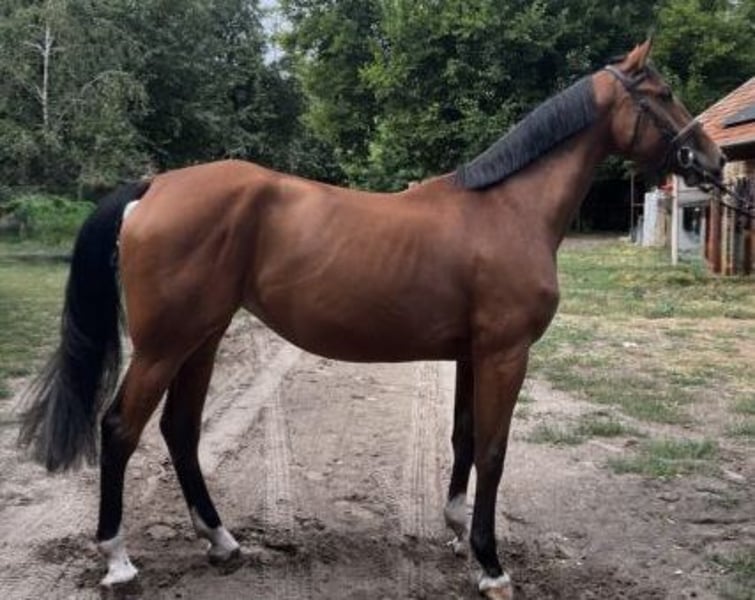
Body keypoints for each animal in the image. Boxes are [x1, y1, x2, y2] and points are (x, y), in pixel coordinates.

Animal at [18, 39, 725, 599]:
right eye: (663, 93)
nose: (713, 161)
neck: (506, 210)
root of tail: (153, 187)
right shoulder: (506, 352)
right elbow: (494, 451)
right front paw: (491, 566)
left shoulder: (472, 353)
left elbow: (464, 437)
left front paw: (457, 528)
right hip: (166, 345)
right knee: (120, 428)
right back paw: (118, 561)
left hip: (204, 338)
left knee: (180, 430)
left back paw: (222, 542)